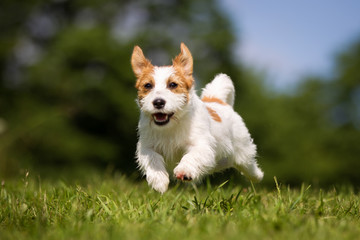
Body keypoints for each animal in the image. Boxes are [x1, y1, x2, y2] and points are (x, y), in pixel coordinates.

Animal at [131, 43, 262, 193]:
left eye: (173, 84)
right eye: (148, 85)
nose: (158, 102)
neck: (171, 126)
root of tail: (216, 100)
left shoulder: (202, 145)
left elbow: (191, 155)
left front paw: (184, 170)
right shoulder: (146, 146)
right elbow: (152, 158)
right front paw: (159, 180)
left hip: (243, 151)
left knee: (249, 165)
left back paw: (258, 175)